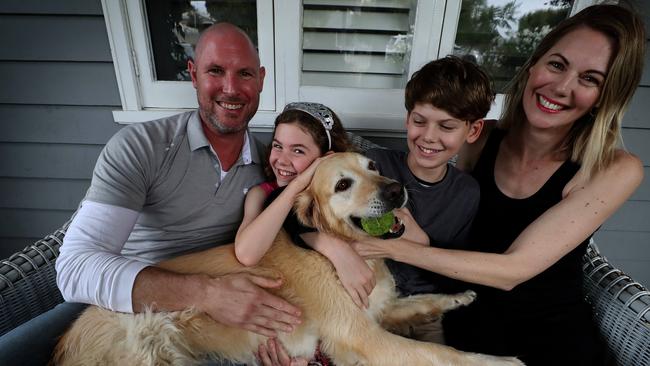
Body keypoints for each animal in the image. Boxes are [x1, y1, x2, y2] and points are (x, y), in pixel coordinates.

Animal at [54, 152, 520, 366]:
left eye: (372, 165)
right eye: (343, 184)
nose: (396, 190)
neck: (343, 254)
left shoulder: (375, 311)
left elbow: (420, 302)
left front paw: (459, 296)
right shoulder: (362, 337)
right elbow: (445, 355)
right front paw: (503, 361)